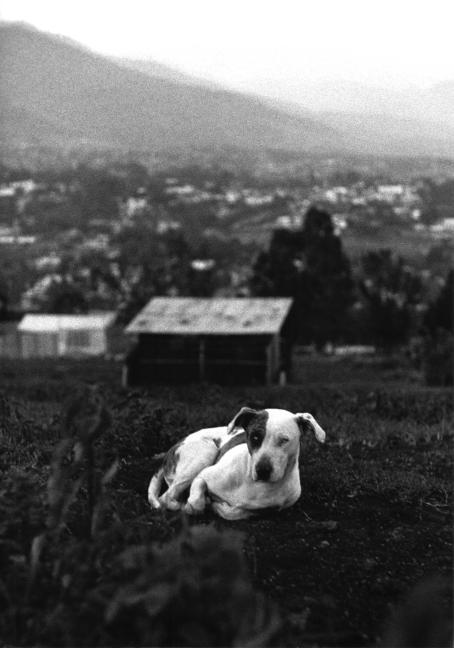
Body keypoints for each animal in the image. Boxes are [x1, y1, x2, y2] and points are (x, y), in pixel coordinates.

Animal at [147, 408, 324, 520]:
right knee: (166, 498)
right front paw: (200, 504)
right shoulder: (202, 476)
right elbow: (196, 501)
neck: (254, 483)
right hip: (206, 451)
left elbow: (235, 512)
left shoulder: (269, 510)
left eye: (284, 440)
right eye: (254, 437)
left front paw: (219, 506)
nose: (262, 470)